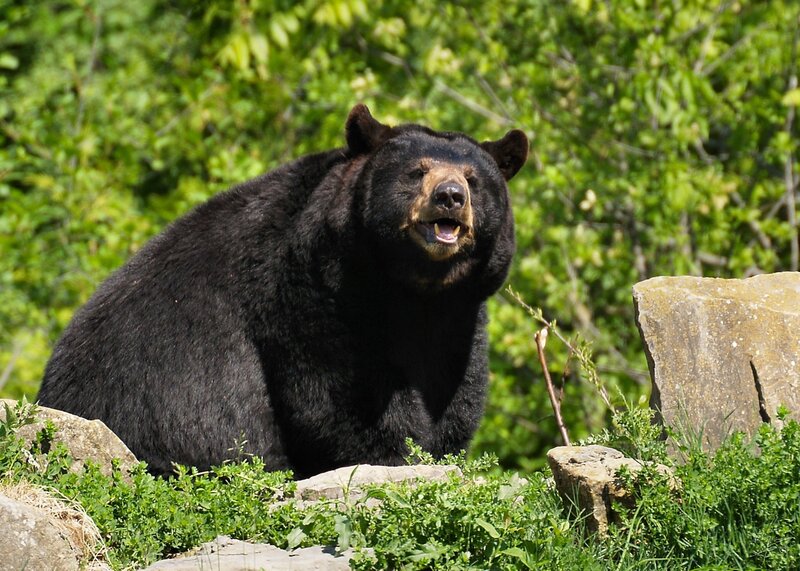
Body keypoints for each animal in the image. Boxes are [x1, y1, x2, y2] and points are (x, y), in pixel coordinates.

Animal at [38, 104, 528, 478]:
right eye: (416, 171)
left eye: (473, 178)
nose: (450, 196)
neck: (410, 290)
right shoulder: (310, 288)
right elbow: (340, 393)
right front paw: (392, 452)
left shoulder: (460, 316)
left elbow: (452, 391)